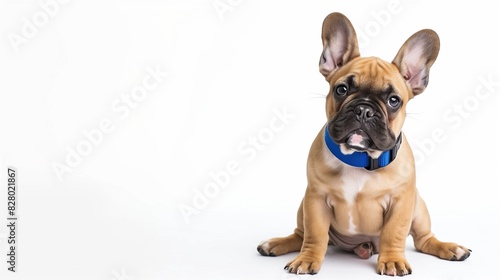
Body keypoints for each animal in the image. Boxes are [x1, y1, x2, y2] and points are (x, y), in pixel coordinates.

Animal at [256, 11, 470, 276]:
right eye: (341, 89)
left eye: (393, 100)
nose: (364, 109)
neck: (359, 157)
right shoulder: (315, 199)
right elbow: (315, 235)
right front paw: (307, 259)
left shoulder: (401, 202)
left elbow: (394, 233)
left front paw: (393, 260)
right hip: (302, 206)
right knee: (301, 234)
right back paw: (276, 244)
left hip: (419, 208)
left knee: (423, 239)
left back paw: (450, 248)